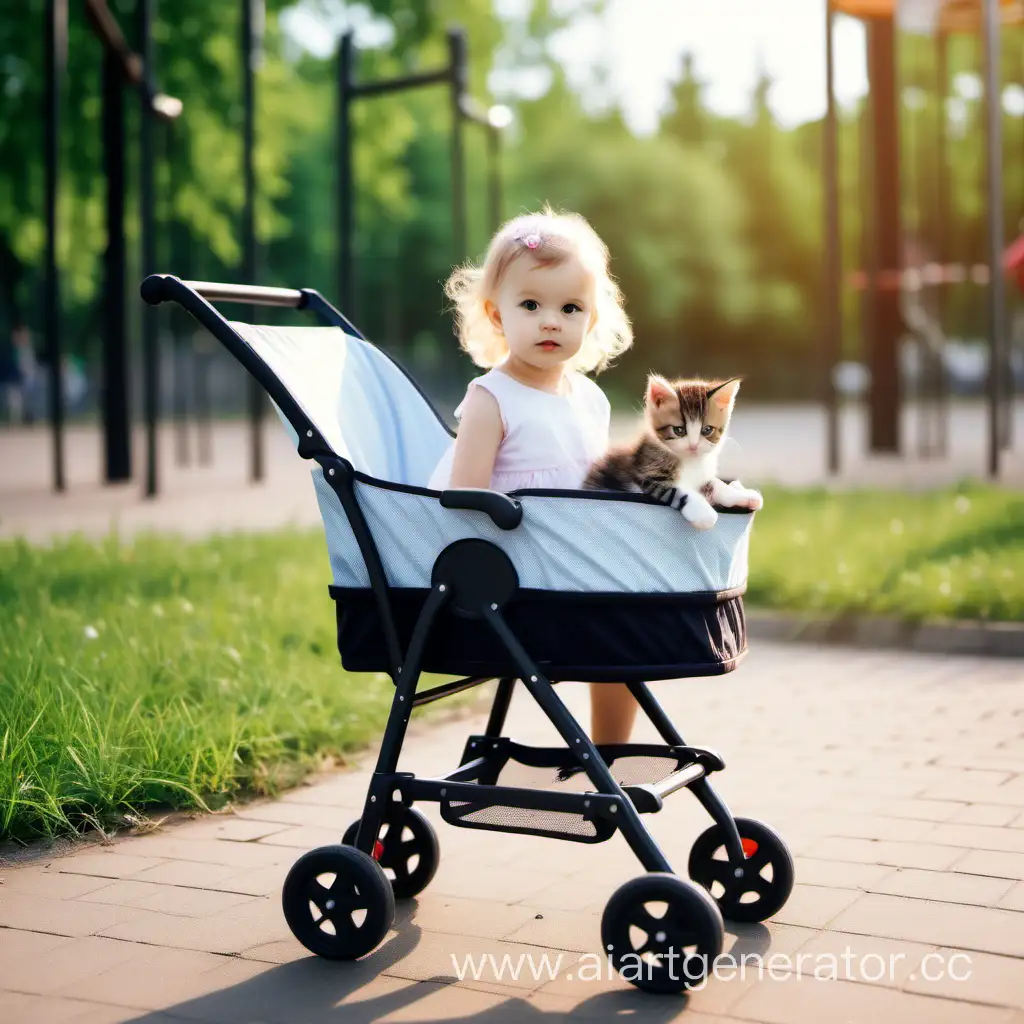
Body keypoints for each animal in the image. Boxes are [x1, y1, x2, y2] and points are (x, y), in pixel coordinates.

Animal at [585, 372, 761, 528]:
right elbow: (680, 491)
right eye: (679, 430)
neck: (690, 461)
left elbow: (714, 483)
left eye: (707, 430)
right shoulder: (648, 473)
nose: (693, 446)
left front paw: (743, 496)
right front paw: (704, 513)